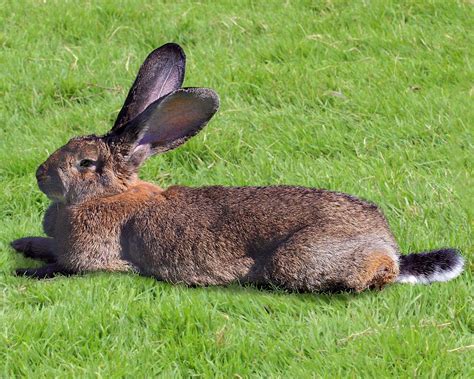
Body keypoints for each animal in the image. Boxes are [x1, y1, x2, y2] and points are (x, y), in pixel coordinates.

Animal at [10, 43, 462, 292]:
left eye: (86, 163)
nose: (40, 175)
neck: (109, 195)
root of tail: (387, 243)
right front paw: (22, 244)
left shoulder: (91, 262)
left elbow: (63, 269)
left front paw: (25, 271)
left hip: (298, 260)